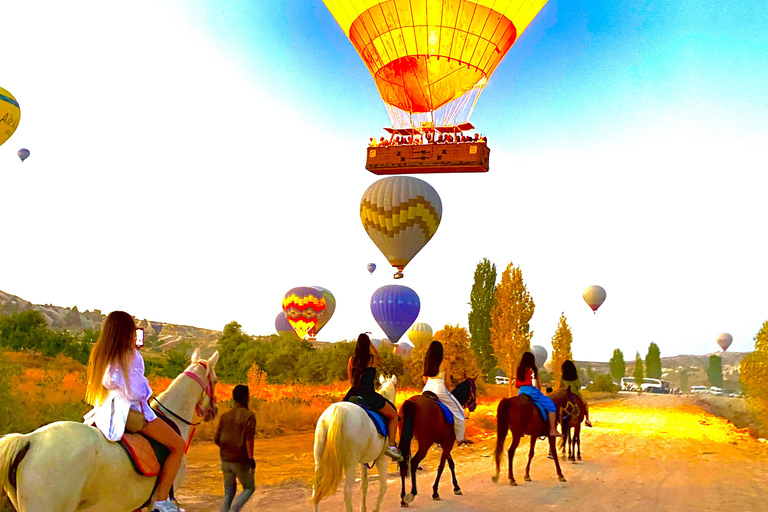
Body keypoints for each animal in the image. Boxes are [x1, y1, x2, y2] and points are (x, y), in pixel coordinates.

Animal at [310, 372, 396, 512]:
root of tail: (336, 412)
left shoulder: (363, 462)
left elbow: (364, 485)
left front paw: (363, 508)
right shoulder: (382, 459)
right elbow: (383, 486)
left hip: (319, 459)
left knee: (315, 490)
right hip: (350, 464)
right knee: (347, 492)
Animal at [400, 378, 476, 506]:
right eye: (474, 389)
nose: (474, 406)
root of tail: (411, 402)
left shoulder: (445, 443)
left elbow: (451, 464)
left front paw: (456, 487)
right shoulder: (448, 443)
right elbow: (441, 466)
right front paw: (435, 492)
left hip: (406, 439)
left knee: (403, 463)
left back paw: (403, 497)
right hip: (425, 444)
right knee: (414, 462)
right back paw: (413, 491)